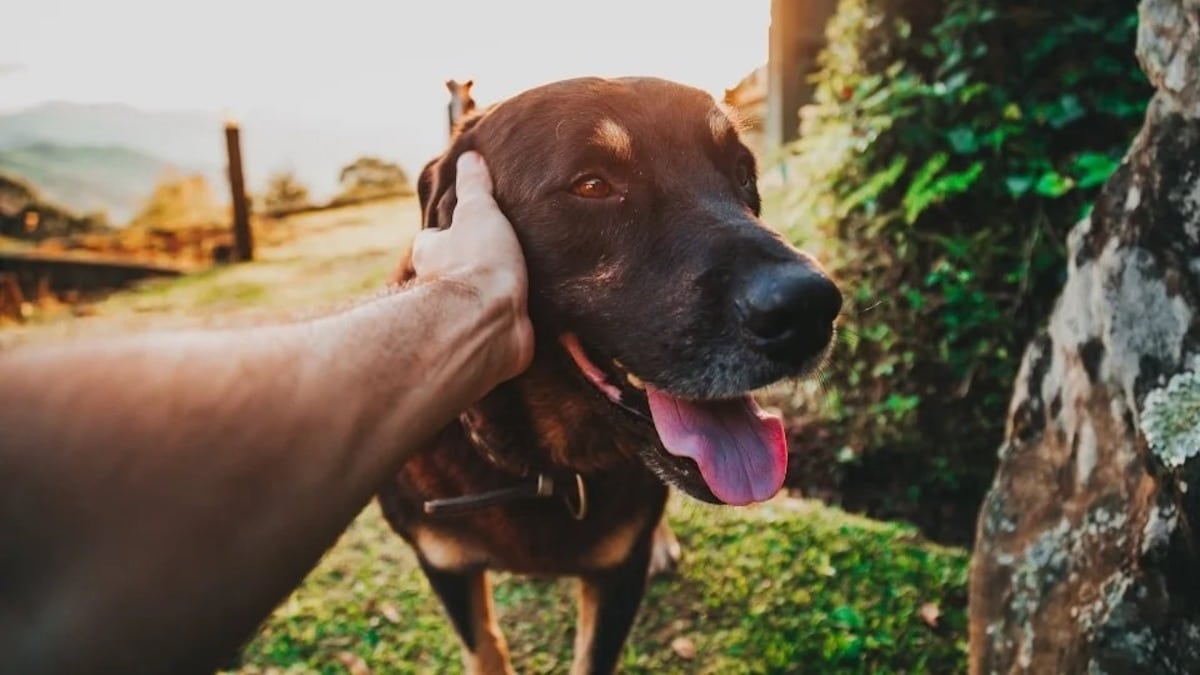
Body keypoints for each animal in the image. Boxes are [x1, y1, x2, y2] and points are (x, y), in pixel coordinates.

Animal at [379, 76, 840, 667]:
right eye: (593, 185)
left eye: (742, 172)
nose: (811, 310)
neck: (542, 467)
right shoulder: (446, 565)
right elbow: (485, 649)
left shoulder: (619, 574)